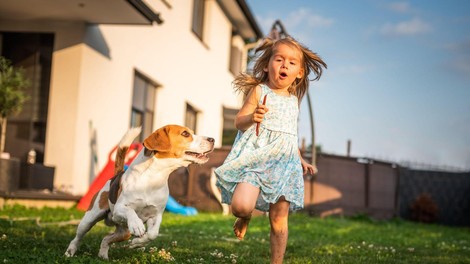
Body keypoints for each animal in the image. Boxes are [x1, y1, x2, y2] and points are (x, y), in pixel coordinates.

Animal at [64, 125, 215, 258]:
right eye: (185, 134)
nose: (212, 139)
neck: (153, 177)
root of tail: (116, 176)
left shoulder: (156, 215)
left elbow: (152, 234)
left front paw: (137, 243)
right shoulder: (120, 208)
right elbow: (131, 212)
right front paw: (137, 226)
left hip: (124, 232)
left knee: (106, 238)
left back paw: (103, 255)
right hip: (90, 218)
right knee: (78, 237)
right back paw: (70, 252)